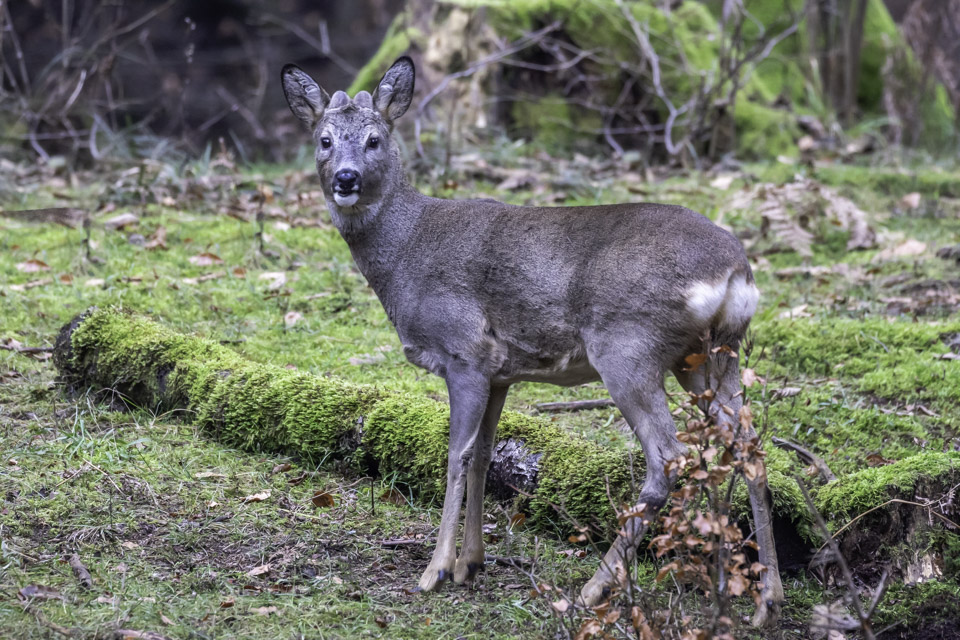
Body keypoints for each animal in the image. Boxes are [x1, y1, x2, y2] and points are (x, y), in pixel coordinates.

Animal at [282, 55, 784, 624]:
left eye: (374, 140)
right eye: (324, 139)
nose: (346, 178)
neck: (407, 251)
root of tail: (735, 273)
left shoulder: (464, 351)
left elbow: (456, 457)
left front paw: (434, 571)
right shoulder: (501, 371)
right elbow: (484, 455)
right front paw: (470, 563)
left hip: (628, 347)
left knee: (668, 456)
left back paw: (594, 590)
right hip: (709, 356)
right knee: (750, 448)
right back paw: (765, 599)